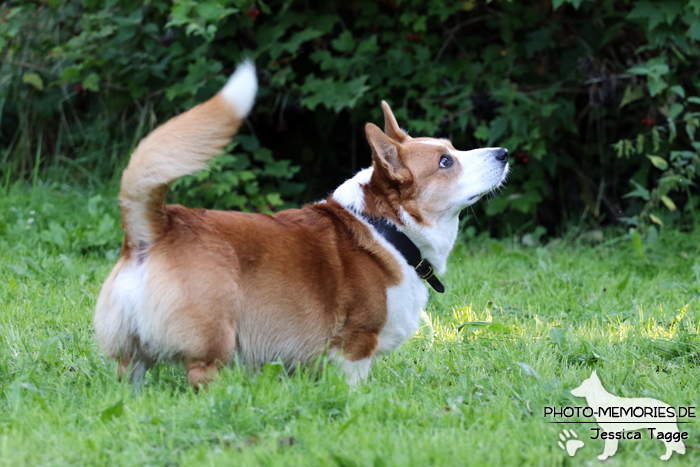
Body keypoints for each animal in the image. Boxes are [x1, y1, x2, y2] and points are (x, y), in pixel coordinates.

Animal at [94, 60, 508, 390]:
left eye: (451, 148)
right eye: (445, 162)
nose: (503, 152)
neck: (388, 230)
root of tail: (156, 226)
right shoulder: (355, 345)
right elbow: (353, 384)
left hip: (133, 352)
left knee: (129, 374)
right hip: (215, 337)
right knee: (202, 375)